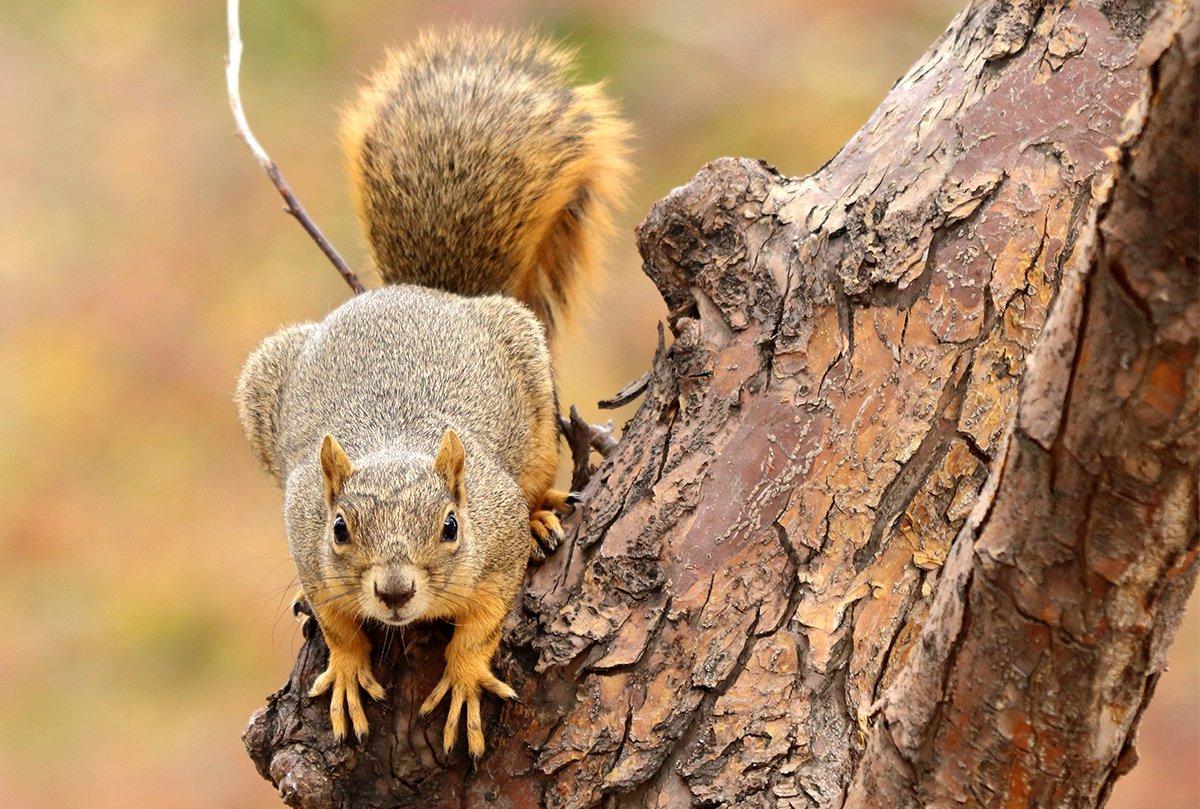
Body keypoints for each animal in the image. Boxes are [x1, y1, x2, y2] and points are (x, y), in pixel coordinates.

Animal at [231, 26, 628, 758]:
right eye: (339, 528)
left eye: (451, 525)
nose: (393, 591)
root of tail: (428, 292)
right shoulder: (305, 540)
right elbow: (336, 621)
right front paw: (348, 668)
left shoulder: (493, 545)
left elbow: (484, 622)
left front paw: (466, 676)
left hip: (532, 404)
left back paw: (542, 514)